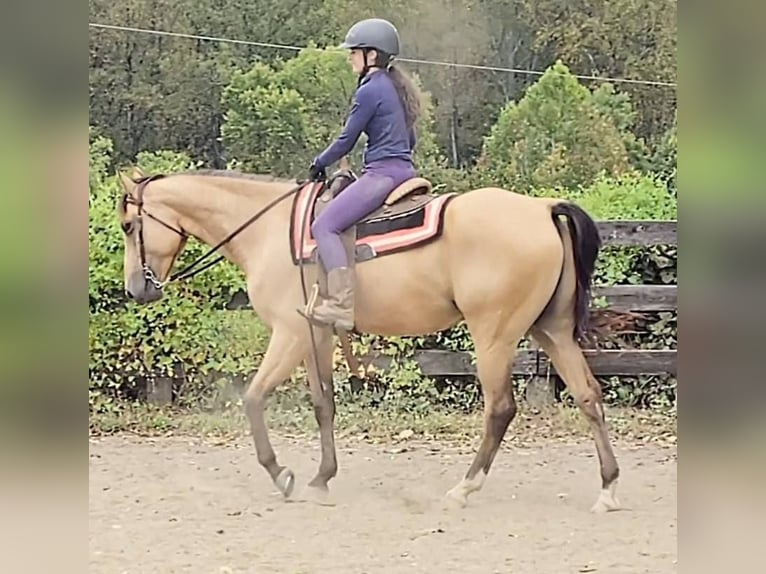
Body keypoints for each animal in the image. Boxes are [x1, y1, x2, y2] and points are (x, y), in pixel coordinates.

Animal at [115, 165, 621, 513]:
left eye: (128, 226)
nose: (135, 290)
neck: (268, 230)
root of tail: (542, 208)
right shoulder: (315, 336)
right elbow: (323, 405)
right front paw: (322, 477)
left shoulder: (289, 333)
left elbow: (254, 398)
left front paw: (282, 475)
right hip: (551, 331)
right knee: (588, 396)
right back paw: (608, 489)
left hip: (493, 336)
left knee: (500, 409)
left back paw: (464, 487)